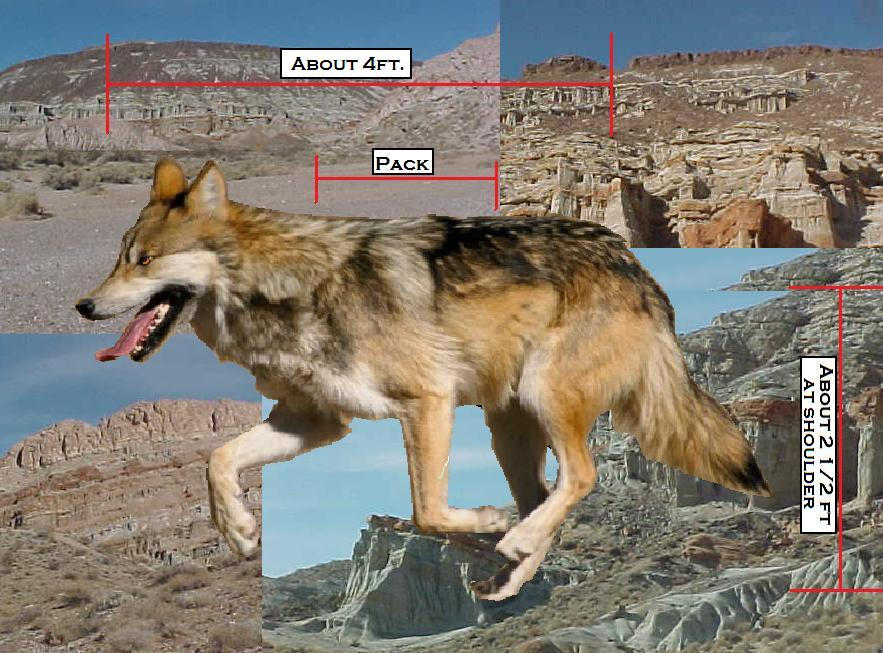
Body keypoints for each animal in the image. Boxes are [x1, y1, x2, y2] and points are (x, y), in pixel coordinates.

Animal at [76, 158, 771, 600]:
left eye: (144, 260)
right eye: (118, 258)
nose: (83, 306)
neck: (285, 286)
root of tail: (634, 264)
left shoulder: (426, 402)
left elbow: (428, 513)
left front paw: (483, 519)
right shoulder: (316, 421)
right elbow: (217, 459)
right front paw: (240, 529)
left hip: (542, 398)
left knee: (581, 478)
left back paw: (510, 535)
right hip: (508, 426)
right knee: (548, 497)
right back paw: (508, 567)